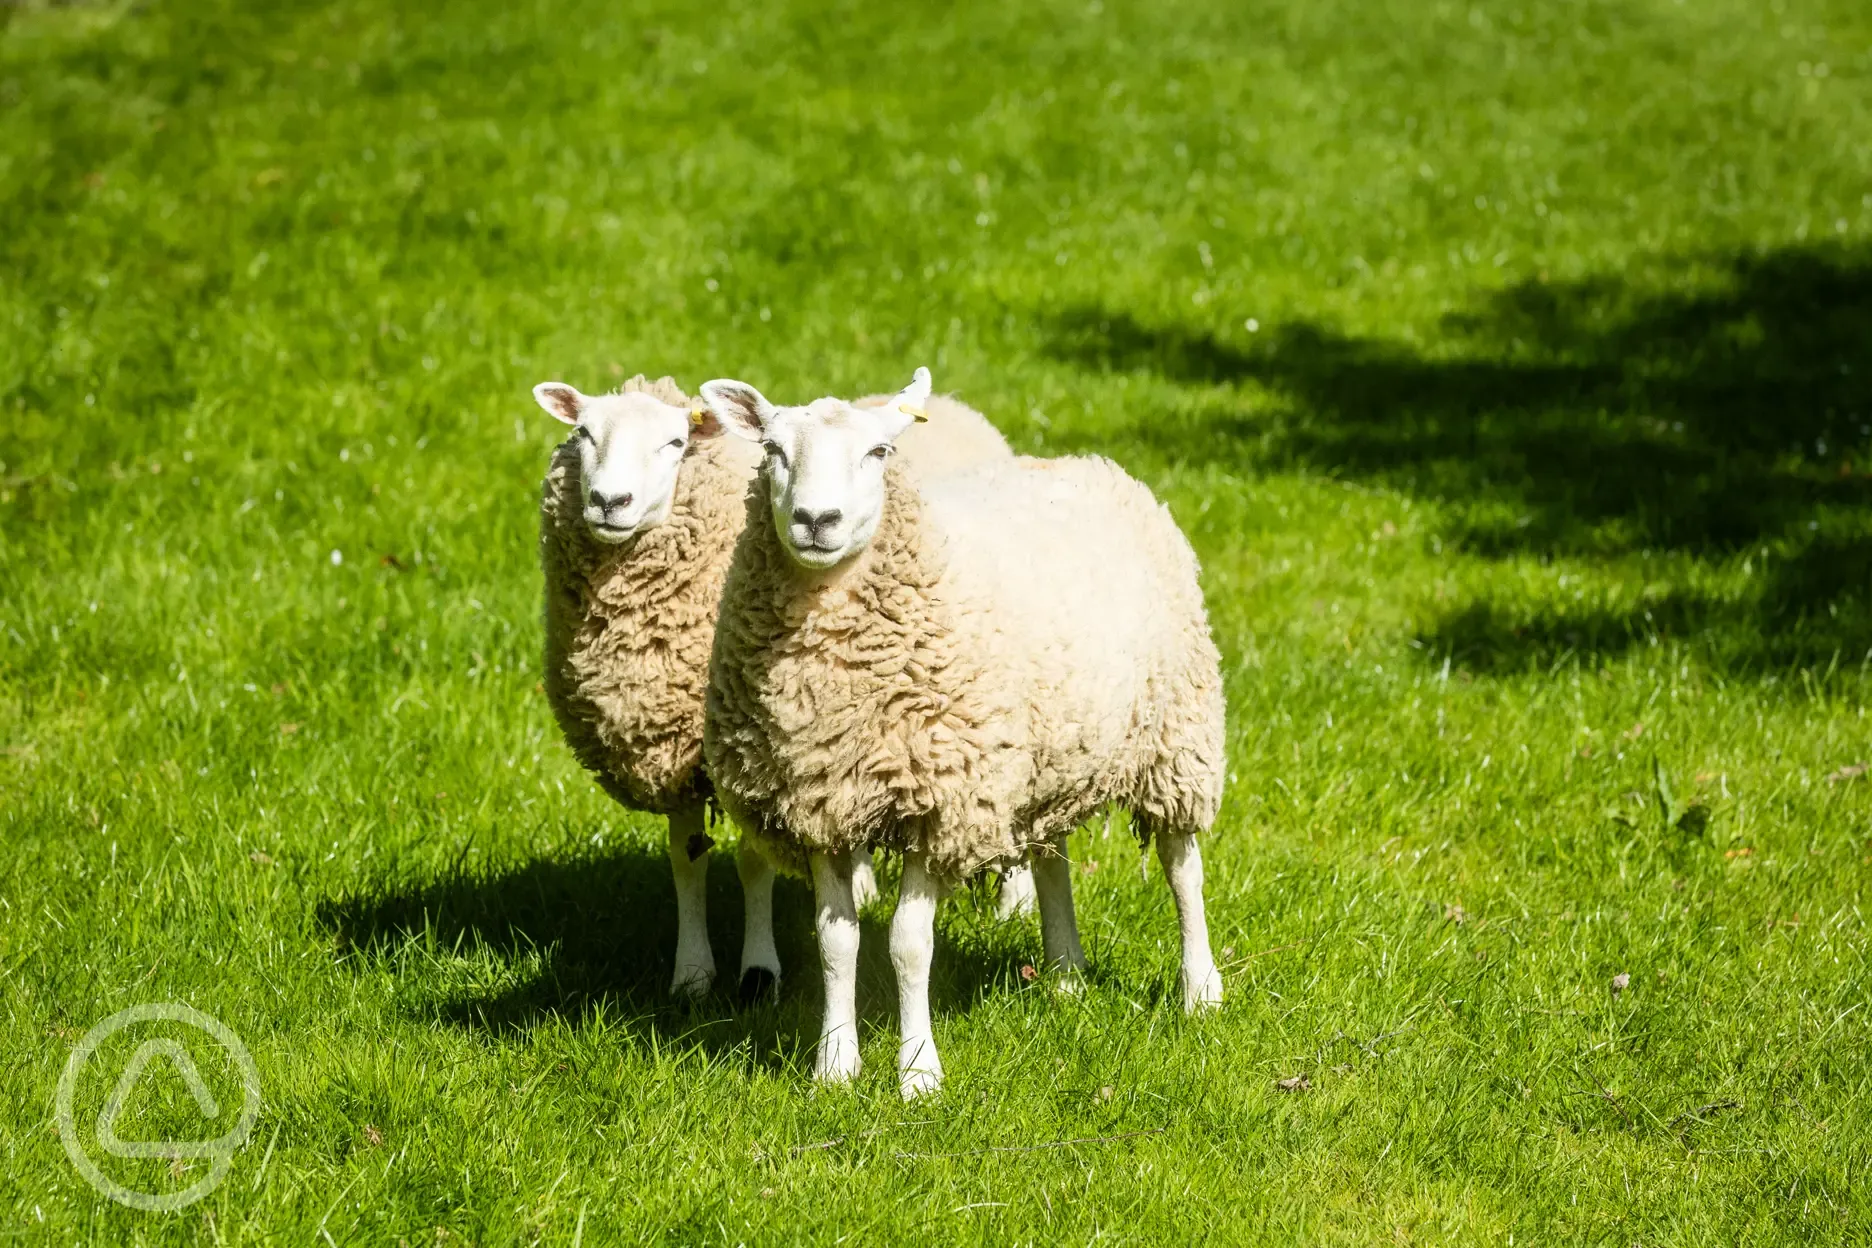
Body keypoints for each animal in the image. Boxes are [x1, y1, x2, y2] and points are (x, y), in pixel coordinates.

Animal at [534, 373, 1025, 1002]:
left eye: (675, 443)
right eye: (583, 434)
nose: (608, 502)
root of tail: (953, 406)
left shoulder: (749, 755)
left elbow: (754, 862)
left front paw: (758, 971)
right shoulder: (688, 752)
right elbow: (686, 859)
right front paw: (693, 975)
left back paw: (1014, 902)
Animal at [700, 367, 1226, 1098]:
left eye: (880, 452)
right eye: (773, 450)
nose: (815, 520)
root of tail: (1087, 463)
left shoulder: (942, 802)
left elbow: (907, 945)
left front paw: (918, 1072)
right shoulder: (821, 801)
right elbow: (836, 942)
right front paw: (834, 1066)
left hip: (1176, 735)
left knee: (1183, 867)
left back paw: (1200, 990)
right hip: (1050, 757)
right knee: (1052, 857)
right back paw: (1065, 975)